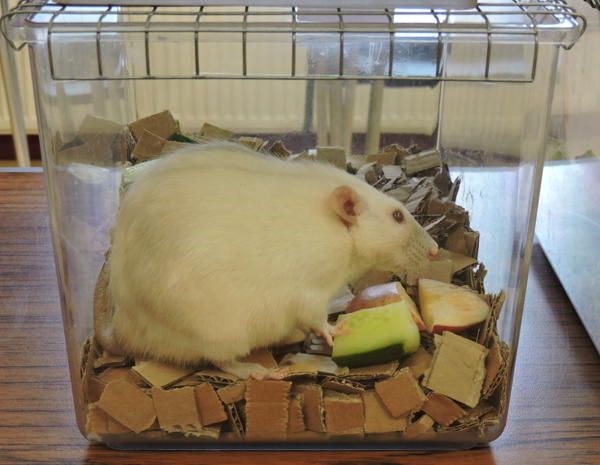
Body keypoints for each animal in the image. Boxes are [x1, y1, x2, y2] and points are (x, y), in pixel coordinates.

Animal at [96, 141, 438, 380]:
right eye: (397, 216)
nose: (435, 249)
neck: (337, 229)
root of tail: (124, 330)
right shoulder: (311, 281)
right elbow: (313, 313)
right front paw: (333, 330)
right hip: (213, 330)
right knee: (220, 359)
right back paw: (256, 370)